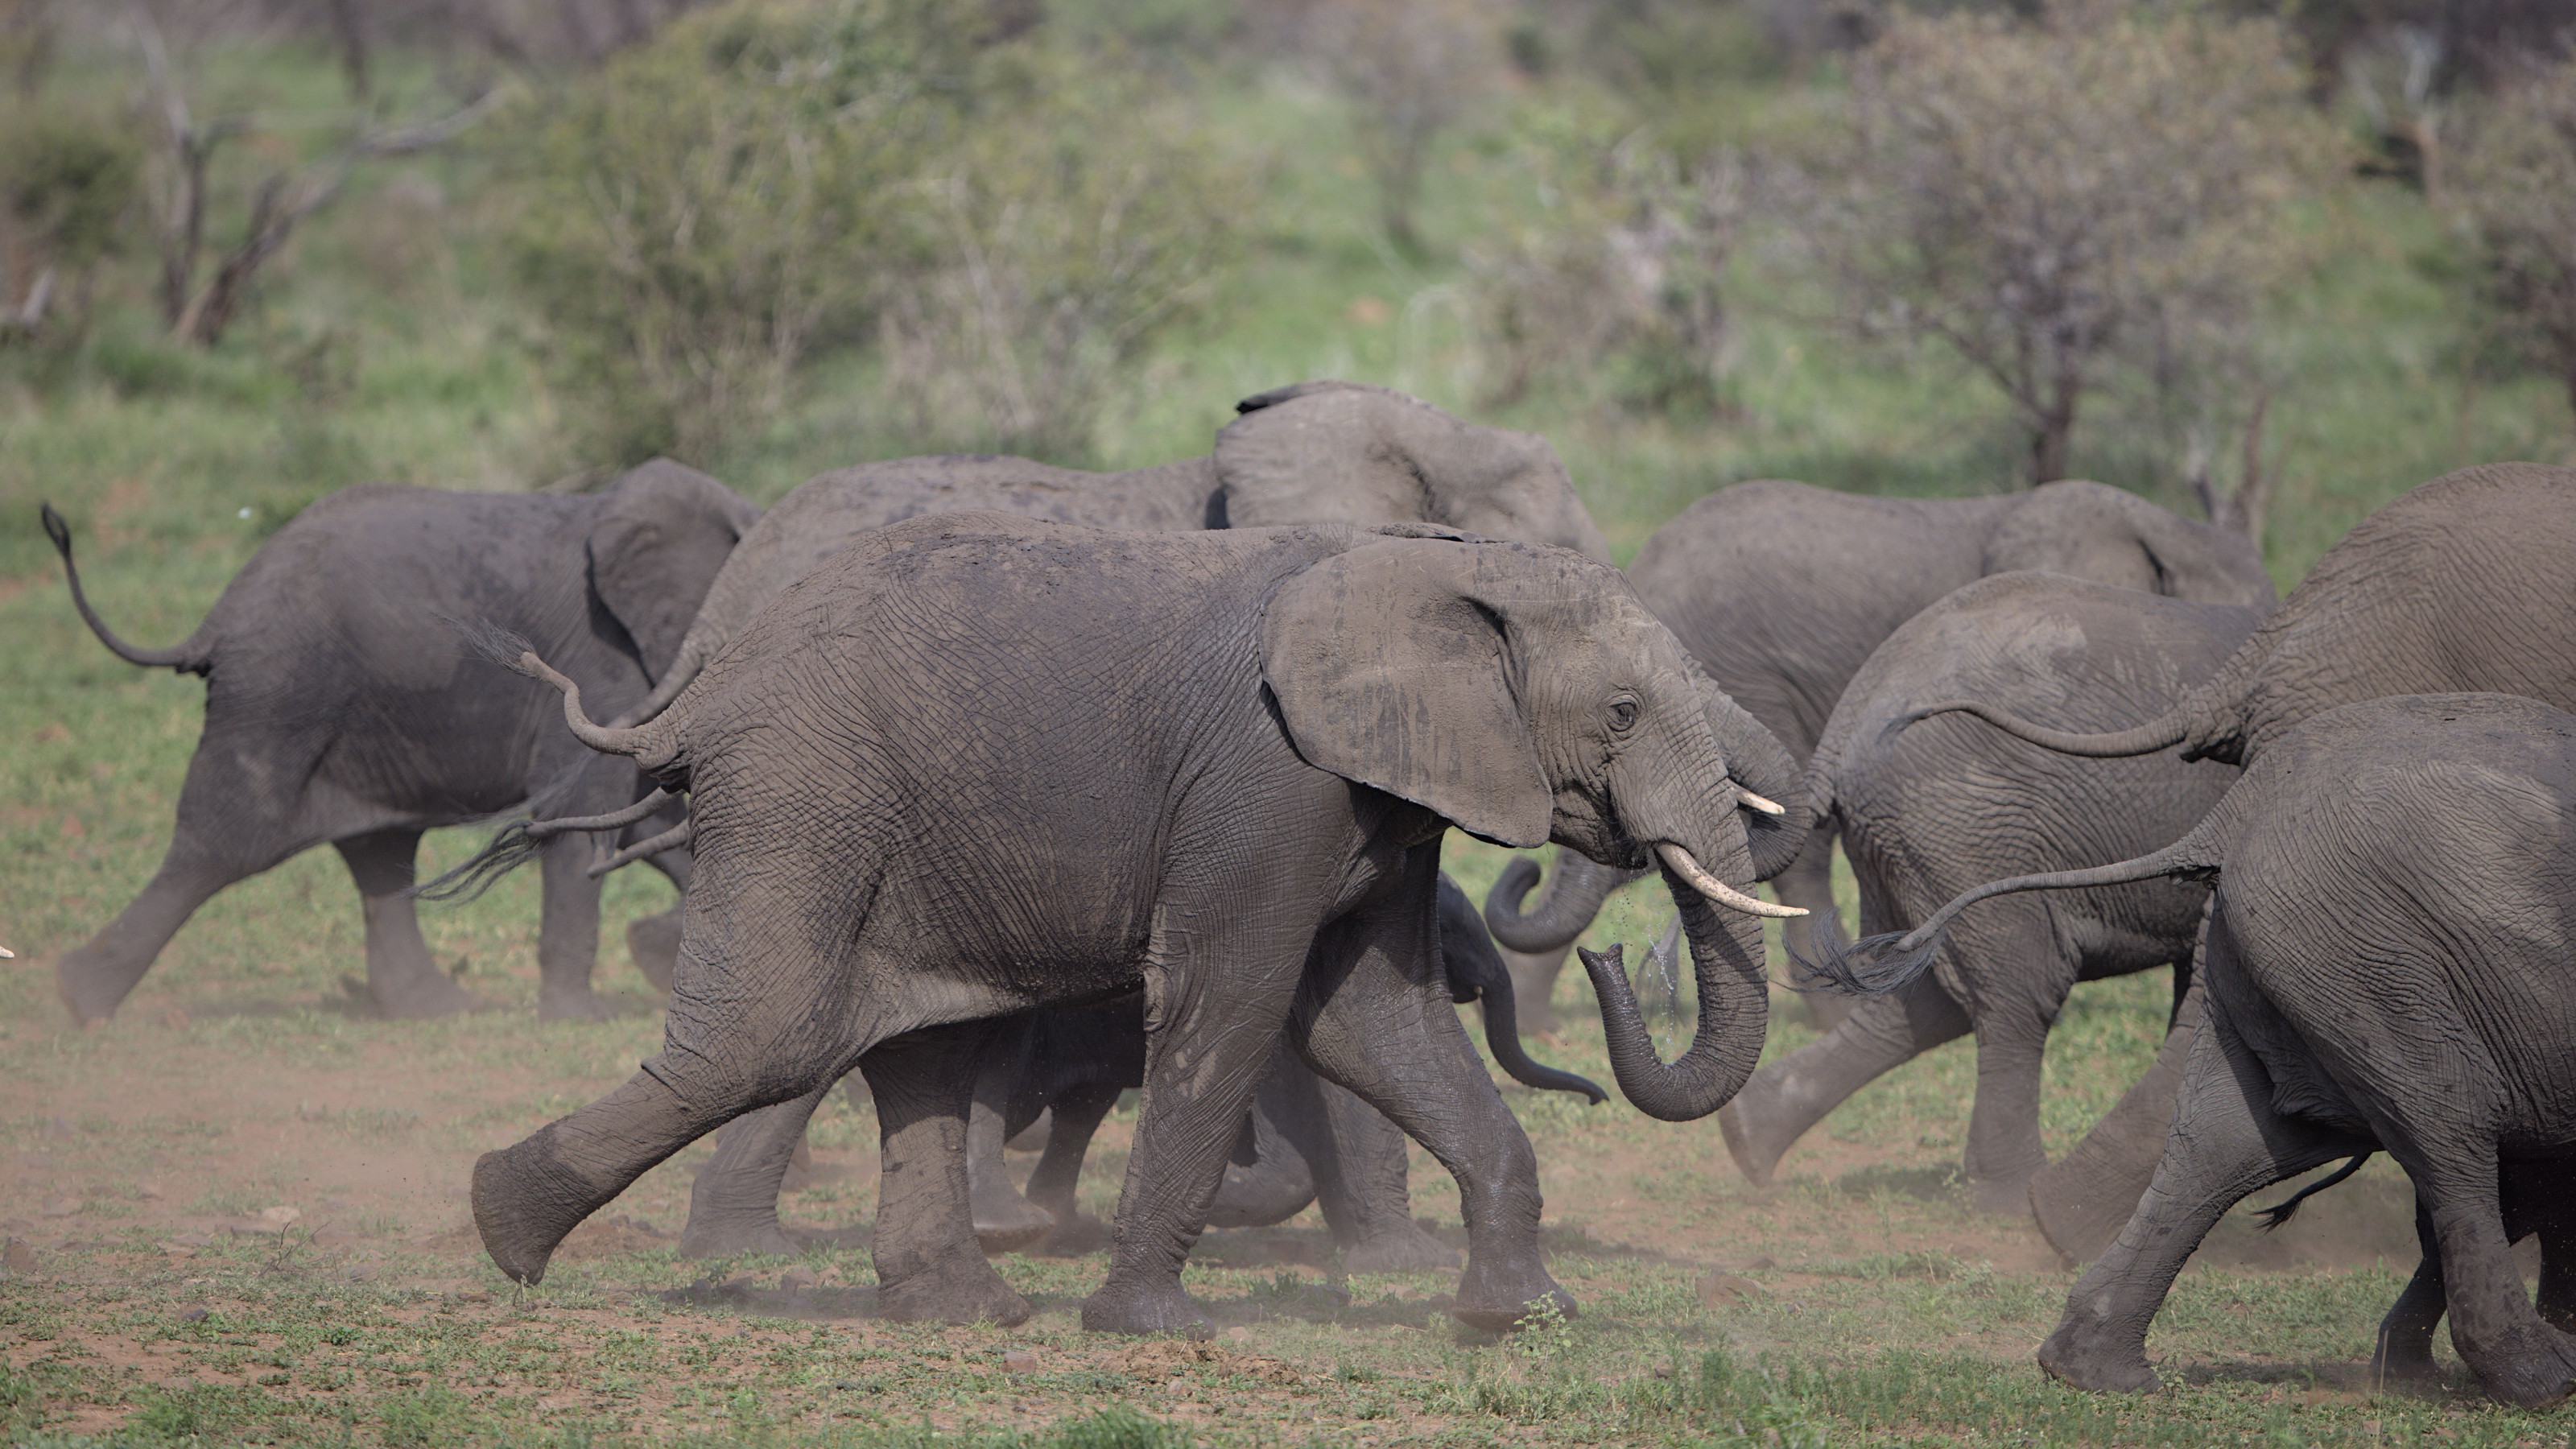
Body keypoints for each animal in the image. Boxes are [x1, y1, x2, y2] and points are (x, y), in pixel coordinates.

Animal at [40, 461, 760, 1023]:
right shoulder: (603, 655)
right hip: (281, 693)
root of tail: (215, 620)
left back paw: (437, 1009)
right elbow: (589, 812)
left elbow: (648, 818)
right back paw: (79, 999)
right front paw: (582, 1017)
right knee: (223, 841)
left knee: (379, 853)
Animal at [460, 513, 1815, 1336]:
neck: (1426, 565)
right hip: (806, 792)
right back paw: (503, 1233)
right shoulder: (1268, 779)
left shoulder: (1378, 797)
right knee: (772, 1037)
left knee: (916, 1043)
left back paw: (965, 1312)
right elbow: (1234, 1001)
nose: (1605, 958)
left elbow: (1376, 1025)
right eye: (1626, 712)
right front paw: (1154, 1327)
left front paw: (1523, 1316)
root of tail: (705, 687)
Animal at [1714, 572, 2264, 1218]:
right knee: (2021, 990)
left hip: (1910, 842)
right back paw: (2013, 1200)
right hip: (1964, 823)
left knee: (1915, 1001)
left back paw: (1748, 1137)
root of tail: (1851, 717)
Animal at [1823, 694, 2576, 1407]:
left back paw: (2091, 1371)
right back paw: (2537, 1379)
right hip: (2375, 953)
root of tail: (2239, 808)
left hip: (2295, 947)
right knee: (2449, 1130)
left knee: (2227, 1144)